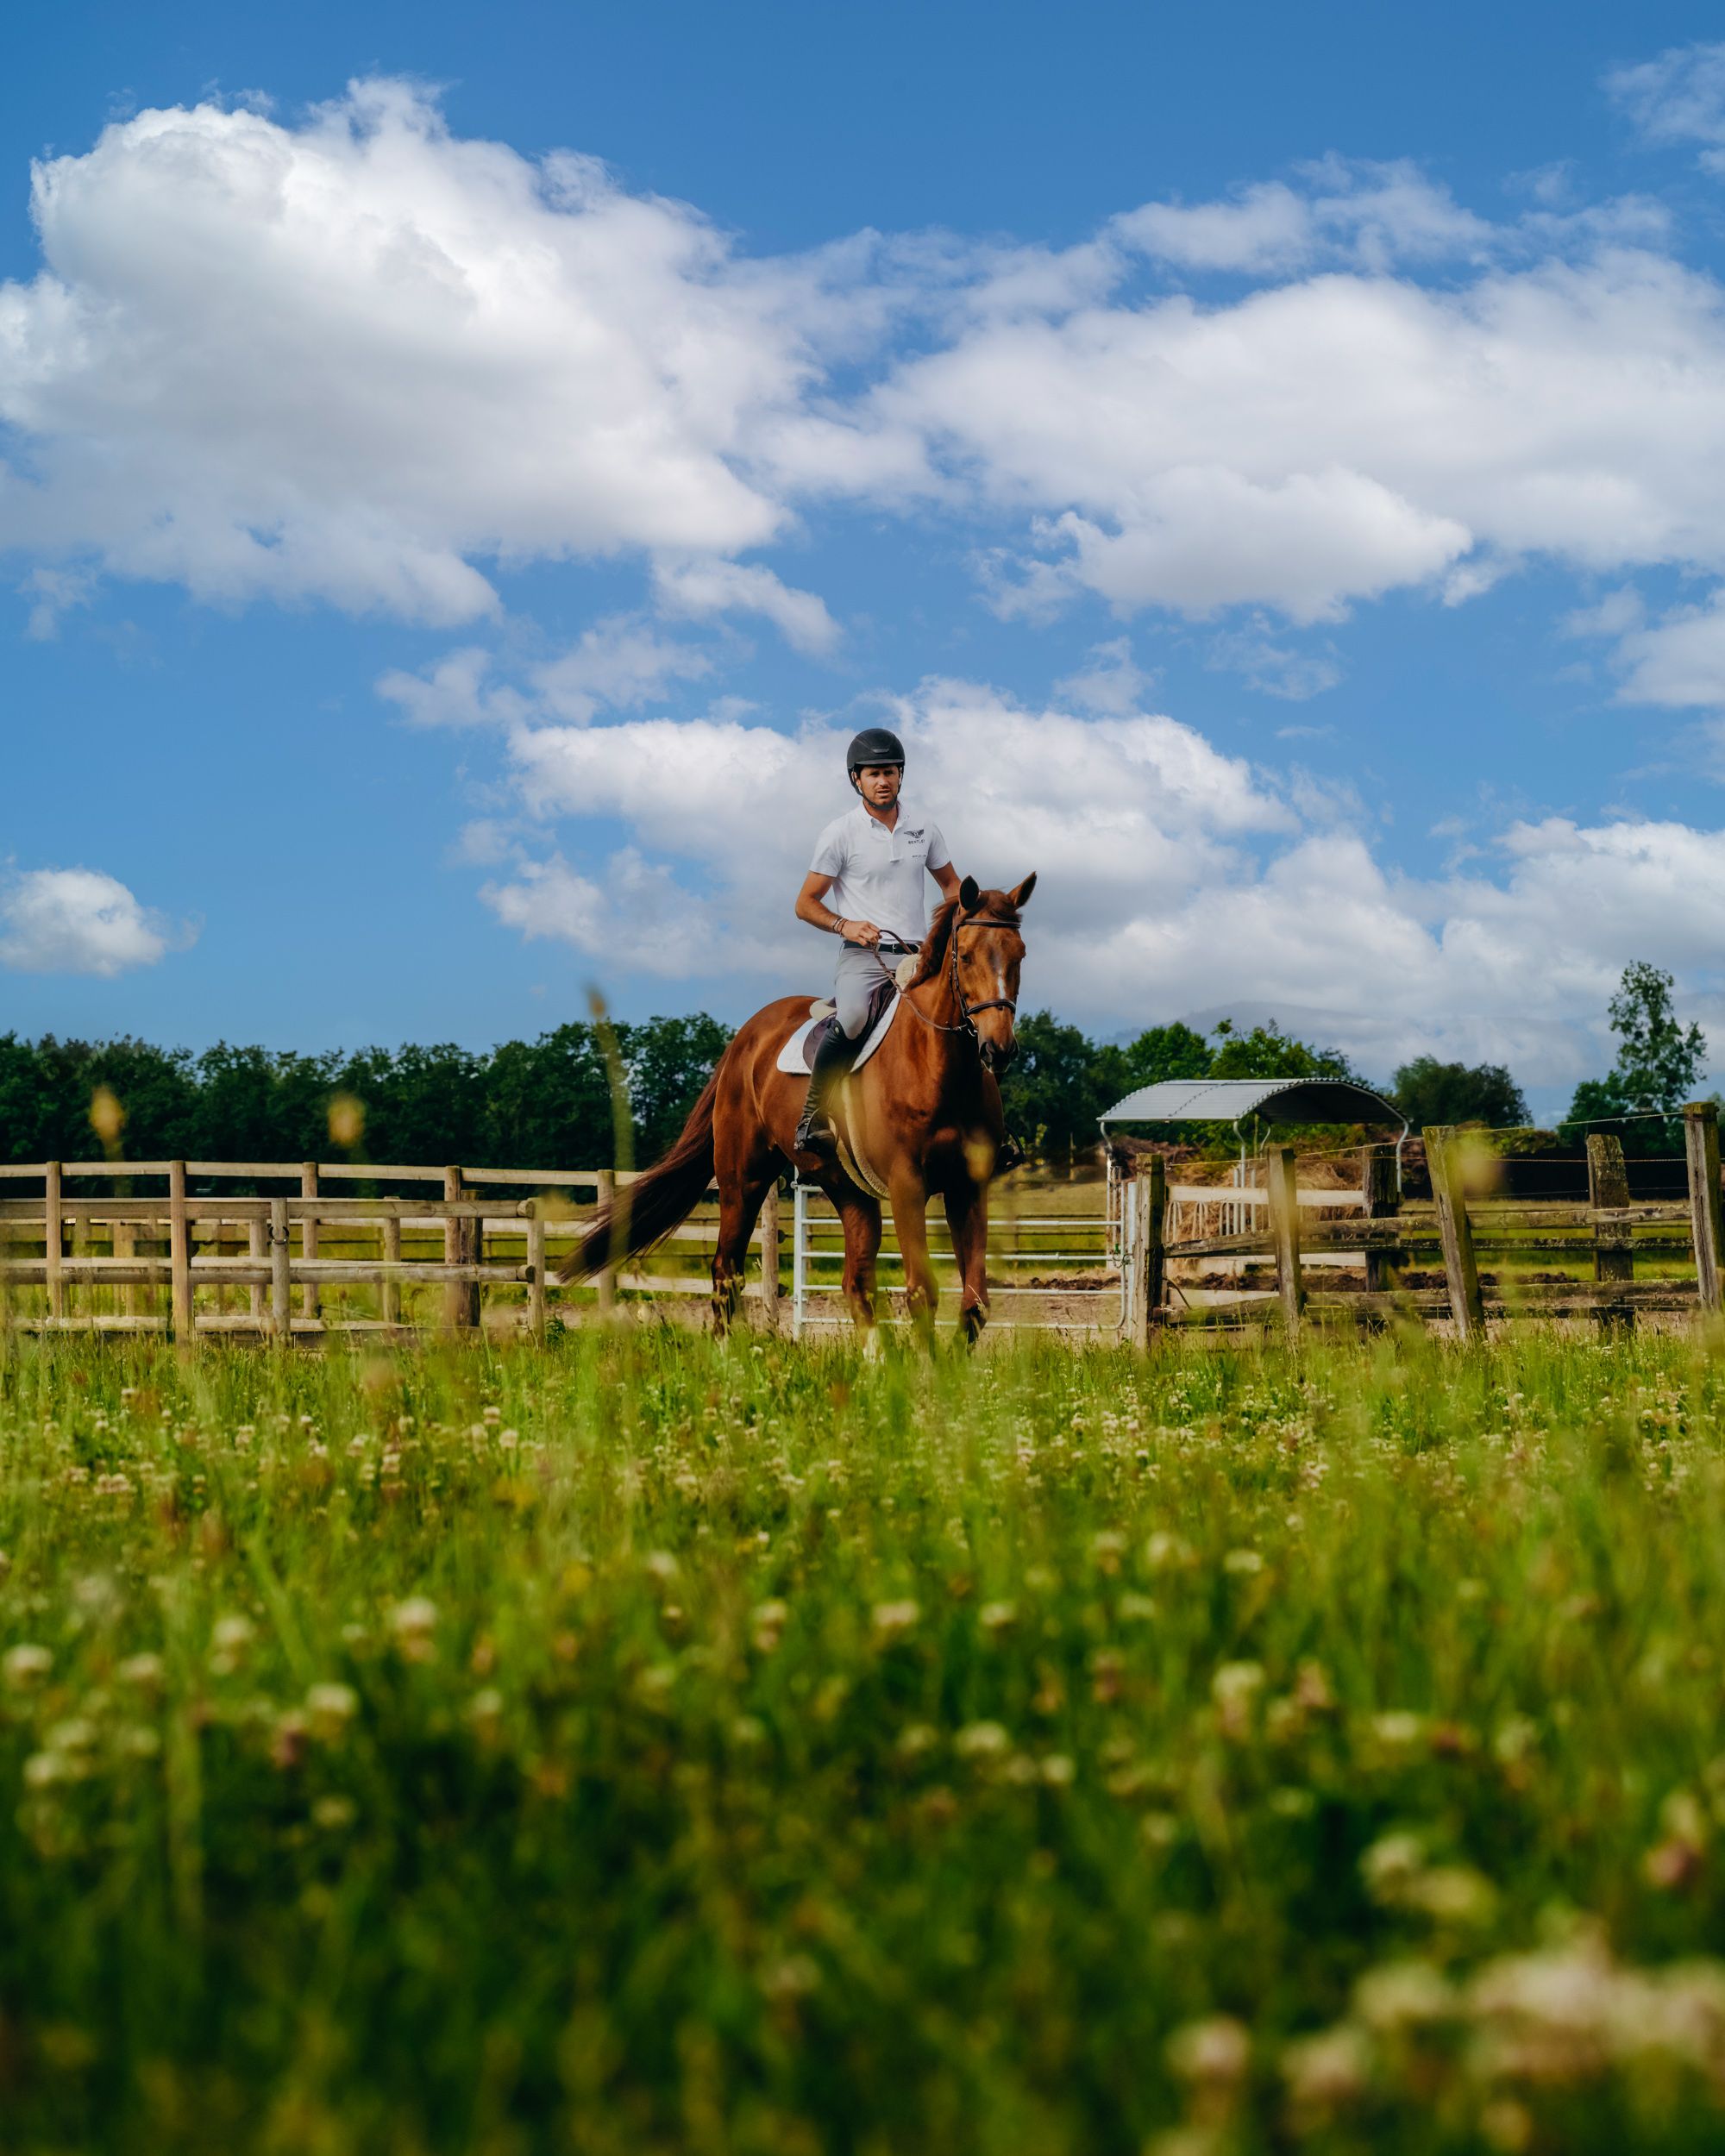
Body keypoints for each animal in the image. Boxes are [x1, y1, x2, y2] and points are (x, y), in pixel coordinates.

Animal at [559, 872, 1036, 1342]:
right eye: (967, 957)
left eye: (1020, 955)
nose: (998, 1049)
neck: (936, 1068)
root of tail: (745, 1039)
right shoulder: (908, 1185)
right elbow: (922, 1293)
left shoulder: (967, 1187)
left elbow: (975, 1303)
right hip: (742, 1182)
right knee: (726, 1270)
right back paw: (727, 1353)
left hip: (849, 1190)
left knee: (855, 1283)